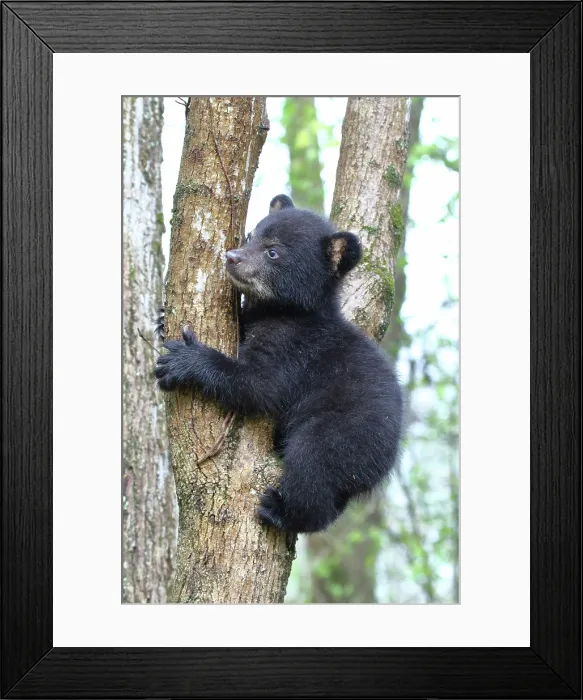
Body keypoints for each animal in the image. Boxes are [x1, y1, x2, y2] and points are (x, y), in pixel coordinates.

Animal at [155, 194, 403, 533]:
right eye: (250, 236)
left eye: (273, 252)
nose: (231, 257)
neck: (287, 311)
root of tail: (386, 462)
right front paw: (161, 318)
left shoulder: (294, 347)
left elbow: (260, 385)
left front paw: (185, 359)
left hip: (346, 432)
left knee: (312, 463)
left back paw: (282, 511)